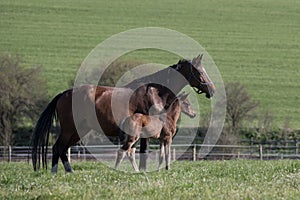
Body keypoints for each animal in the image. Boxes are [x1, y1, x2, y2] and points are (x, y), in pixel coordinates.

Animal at [31, 54, 214, 172]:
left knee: (62, 150)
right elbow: (143, 152)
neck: (155, 92)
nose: (212, 90)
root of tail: (64, 94)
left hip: (78, 131)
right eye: (199, 72)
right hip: (70, 130)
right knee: (57, 148)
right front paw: (142, 171)